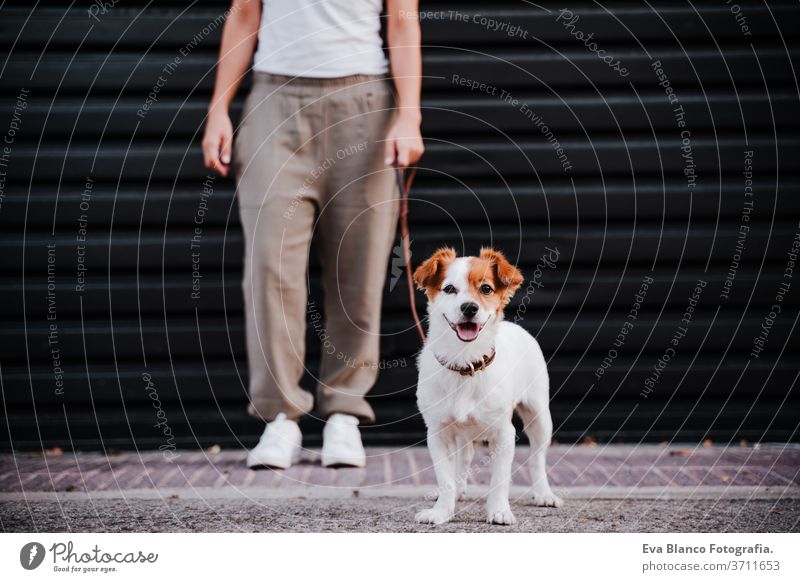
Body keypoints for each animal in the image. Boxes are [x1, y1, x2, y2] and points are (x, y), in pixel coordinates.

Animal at [412, 249, 564, 528]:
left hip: (539, 416)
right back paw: (460, 490)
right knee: (465, 456)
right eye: (449, 289)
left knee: (537, 458)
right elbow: (445, 479)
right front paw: (442, 511)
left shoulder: (504, 434)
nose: (469, 308)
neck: (465, 362)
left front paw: (499, 511)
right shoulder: (438, 433)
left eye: (486, 288)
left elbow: (500, 480)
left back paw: (543, 493)